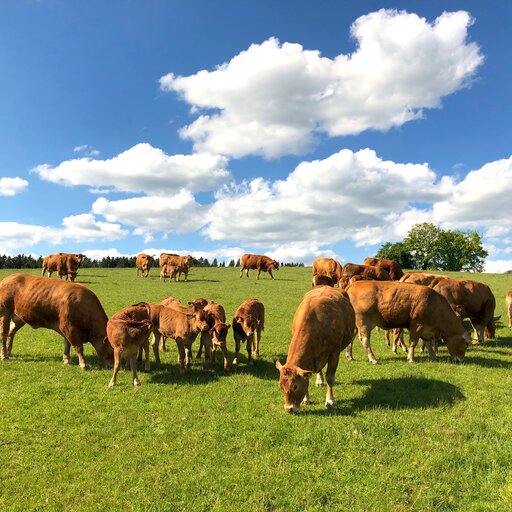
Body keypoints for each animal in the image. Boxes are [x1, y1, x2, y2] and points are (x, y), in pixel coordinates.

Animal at [276, 286, 356, 414]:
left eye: (295, 386)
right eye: (281, 386)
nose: (289, 409)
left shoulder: (334, 352)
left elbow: (330, 378)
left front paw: (329, 401)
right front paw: (305, 399)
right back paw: (319, 380)